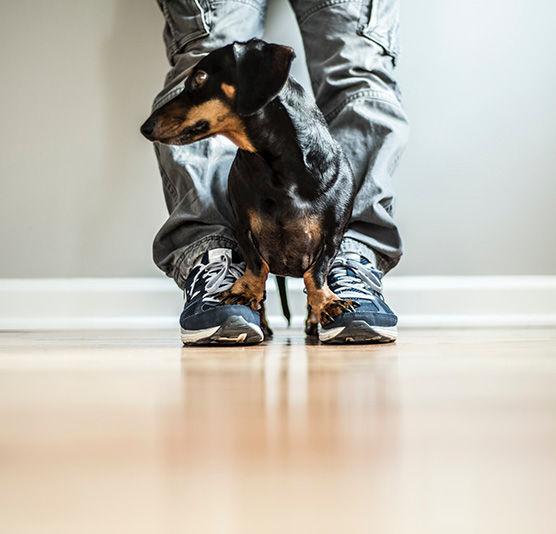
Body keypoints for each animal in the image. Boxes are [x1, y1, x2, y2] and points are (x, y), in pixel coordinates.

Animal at [142, 39, 356, 338]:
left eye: (200, 78)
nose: (145, 128)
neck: (278, 170)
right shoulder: (244, 227)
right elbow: (257, 265)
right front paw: (244, 294)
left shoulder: (331, 237)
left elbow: (315, 274)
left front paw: (326, 303)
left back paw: (313, 321)